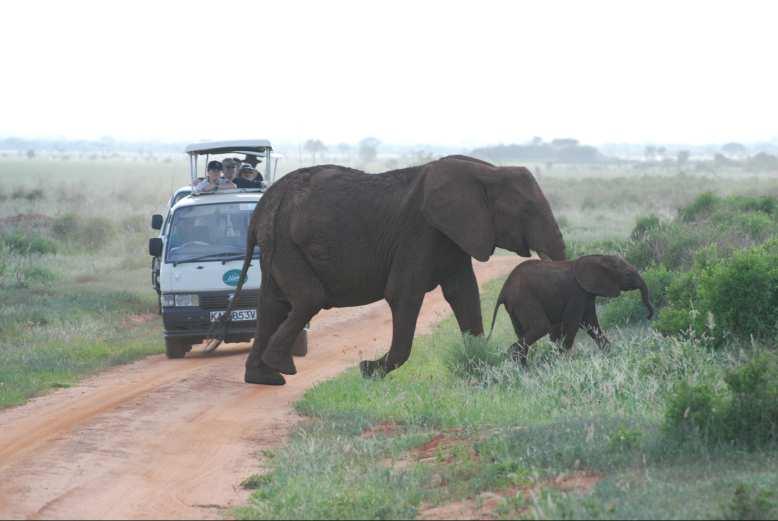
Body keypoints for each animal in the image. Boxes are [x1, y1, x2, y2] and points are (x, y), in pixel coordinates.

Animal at [230, 153, 564, 382]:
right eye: (526, 210)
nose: (516, 352)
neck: (486, 171)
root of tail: (265, 201)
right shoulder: (419, 232)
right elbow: (403, 293)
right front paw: (369, 370)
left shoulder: (452, 235)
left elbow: (464, 293)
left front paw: (480, 361)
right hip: (287, 243)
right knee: (308, 298)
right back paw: (282, 367)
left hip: (276, 243)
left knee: (271, 303)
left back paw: (264, 377)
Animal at [488, 254, 652, 364]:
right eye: (628, 275)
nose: (648, 316)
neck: (598, 257)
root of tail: (503, 290)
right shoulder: (577, 293)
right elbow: (574, 323)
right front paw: (563, 359)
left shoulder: (587, 294)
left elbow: (591, 324)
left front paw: (610, 352)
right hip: (524, 298)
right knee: (540, 327)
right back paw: (515, 359)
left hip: (515, 306)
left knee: (522, 332)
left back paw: (522, 369)